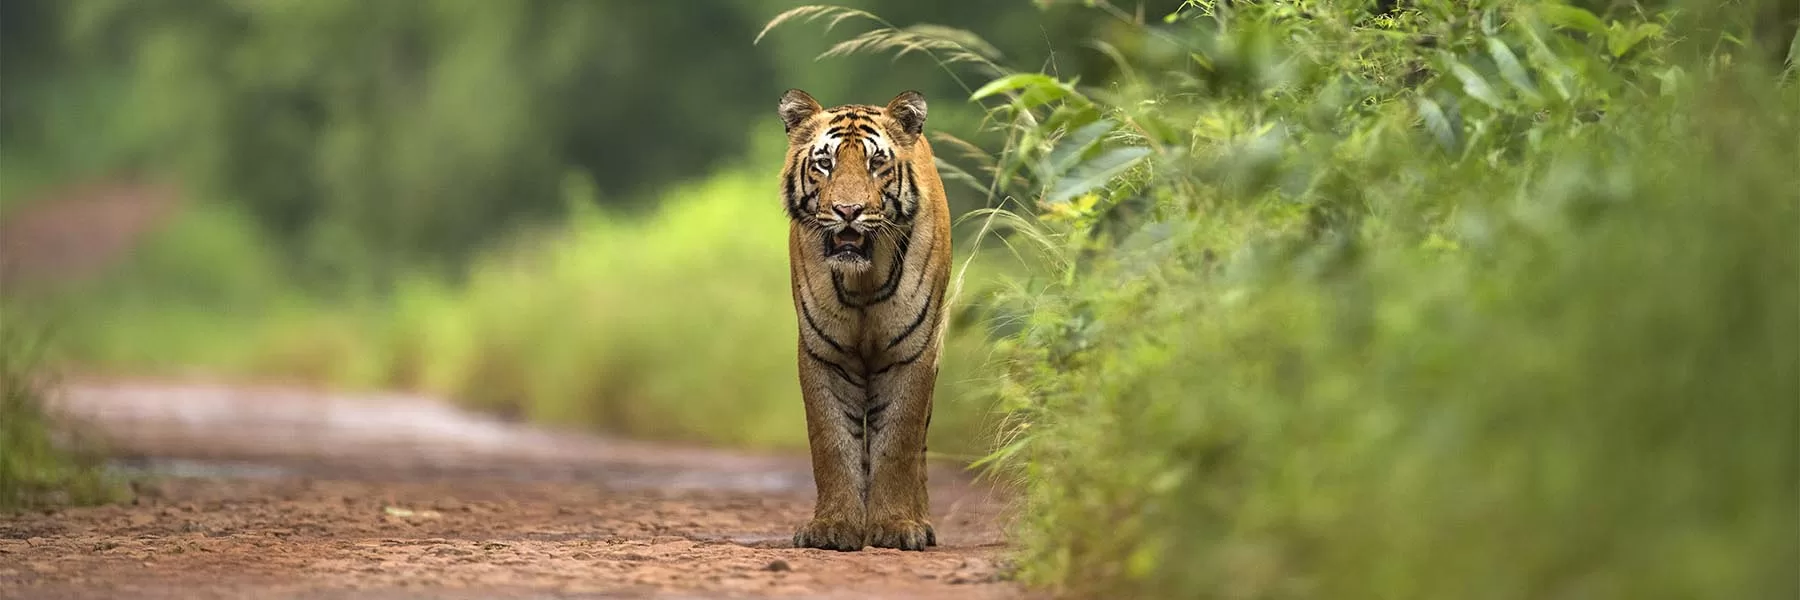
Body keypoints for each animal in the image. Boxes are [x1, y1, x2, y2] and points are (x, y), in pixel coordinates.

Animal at [781, 86, 964, 547]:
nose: (849, 211)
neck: (862, 279)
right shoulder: (824, 352)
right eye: (824, 163)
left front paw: (898, 527)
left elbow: (898, 442)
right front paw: (832, 527)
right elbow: (831, 441)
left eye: (876, 163)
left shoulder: (911, 352)